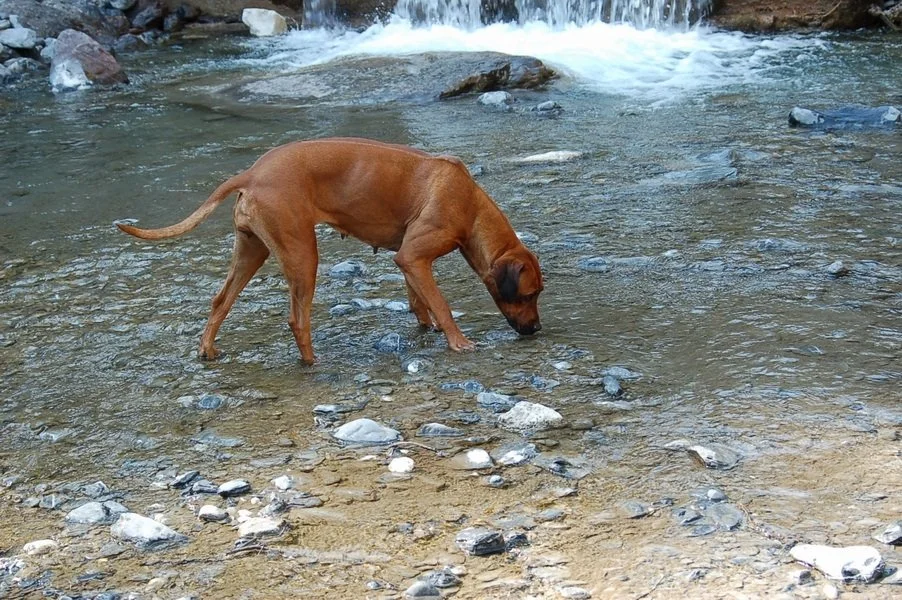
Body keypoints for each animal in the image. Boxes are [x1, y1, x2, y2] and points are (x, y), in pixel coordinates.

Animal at [117, 137, 543, 364]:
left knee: (220, 300)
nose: (537, 330)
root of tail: (252, 173)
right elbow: (440, 303)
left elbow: (420, 300)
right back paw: (311, 362)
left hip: (252, 251)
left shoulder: (410, 258)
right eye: (529, 294)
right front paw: (458, 341)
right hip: (303, 254)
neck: (470, 206)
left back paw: (207, 349)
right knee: (297, 319)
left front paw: (430, 326)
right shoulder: (415, 255)